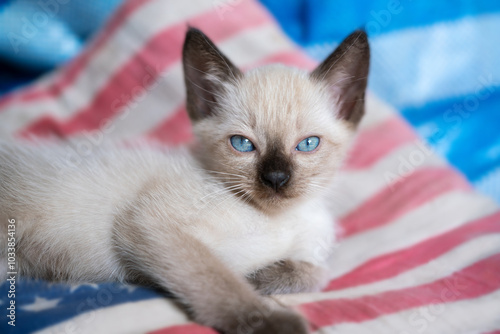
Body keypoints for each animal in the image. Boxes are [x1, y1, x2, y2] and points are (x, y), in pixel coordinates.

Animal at [0, 27, 368, 332]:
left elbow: (316, 273)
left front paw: (261, 277)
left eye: (307, 144)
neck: (275, 218)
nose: (276, 179)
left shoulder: (311, 252)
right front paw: (270, 320)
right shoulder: (152, 224)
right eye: (242, 144)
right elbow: (215, 277)